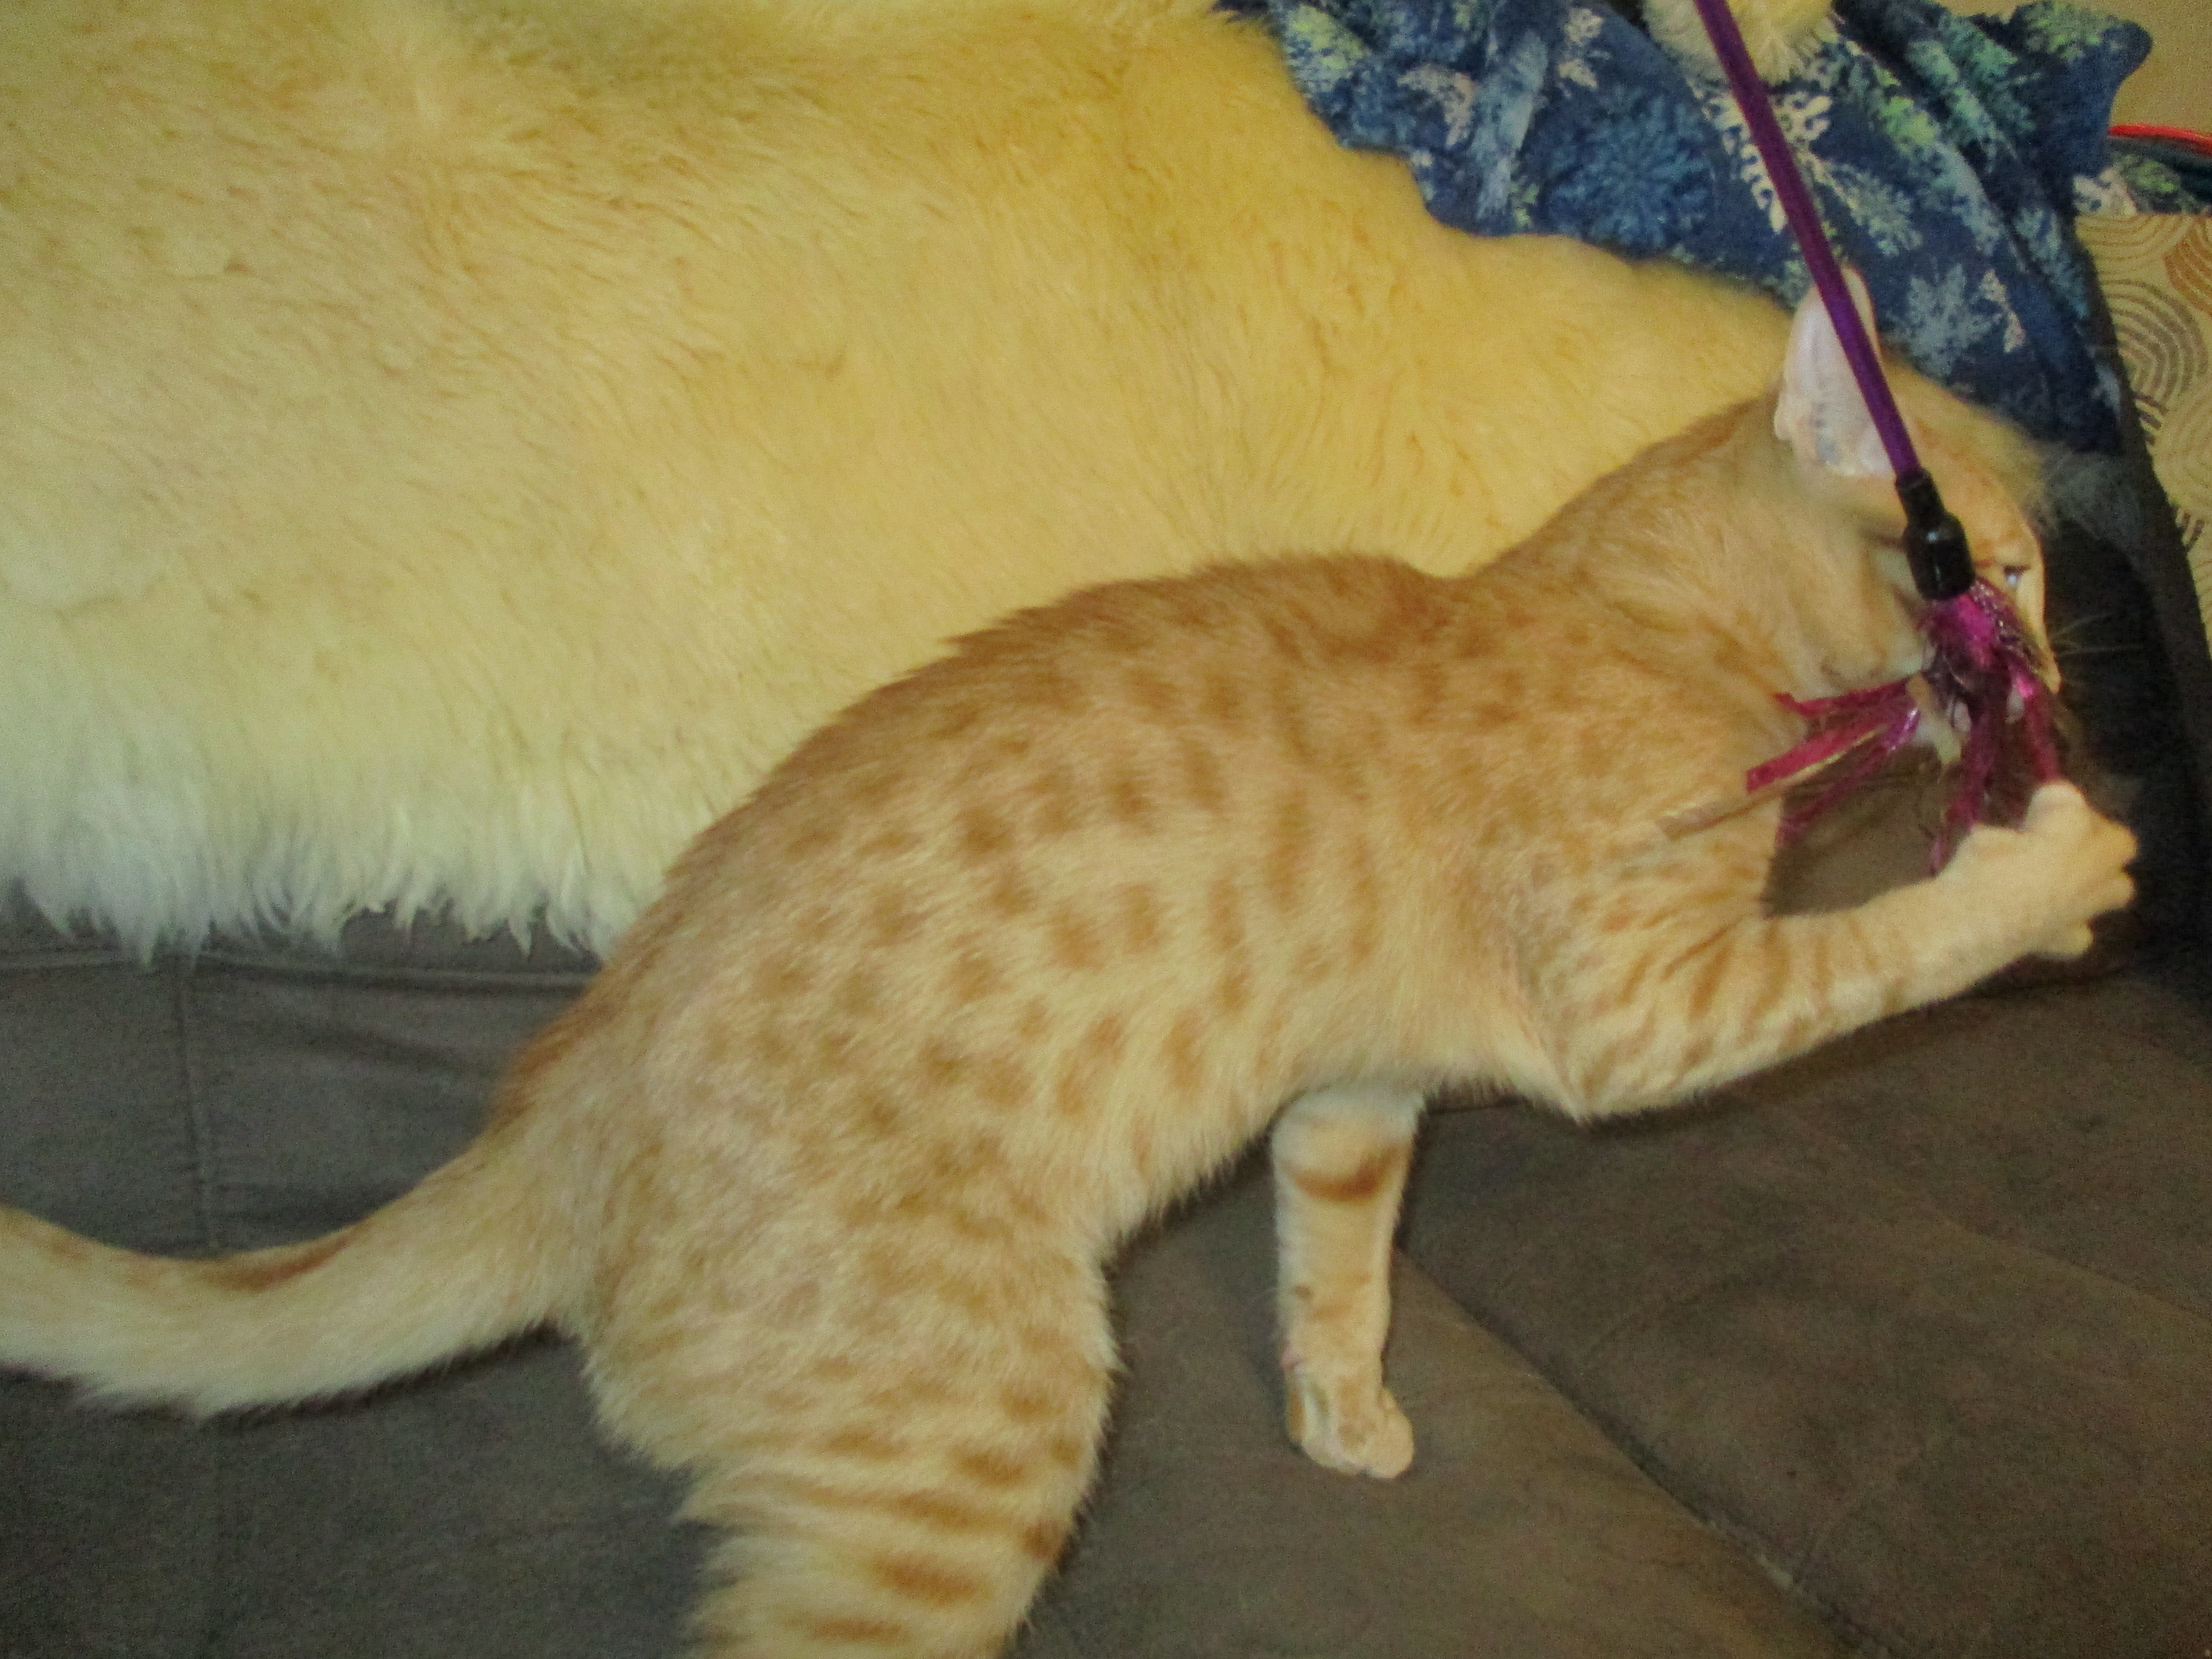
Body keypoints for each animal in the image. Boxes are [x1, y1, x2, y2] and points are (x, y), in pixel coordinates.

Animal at [0, 288, 2136, 1658]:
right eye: (2006, 570)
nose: (2065, 670)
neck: (1638, 616)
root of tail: (560, 1111)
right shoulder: (1643, 1010)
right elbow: (1881, 945)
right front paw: (2052, 871)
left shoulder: (1352, 1098)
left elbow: (1340, 1273)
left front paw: (1340, 1409)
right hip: (975, 1457)